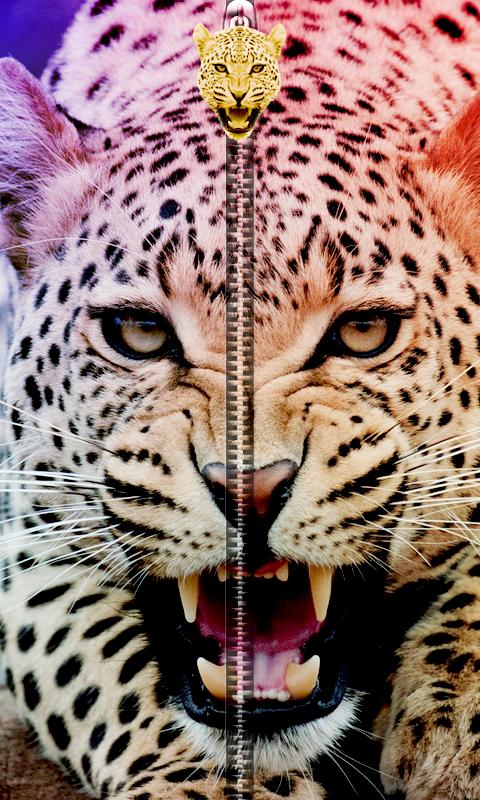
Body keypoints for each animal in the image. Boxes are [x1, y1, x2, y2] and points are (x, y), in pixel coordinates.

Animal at [1, 0, 480, 798]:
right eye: (138, 333)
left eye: (364, 332)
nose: (247, 493)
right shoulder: (23, 535)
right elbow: (98, 660)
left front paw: (460, 731)